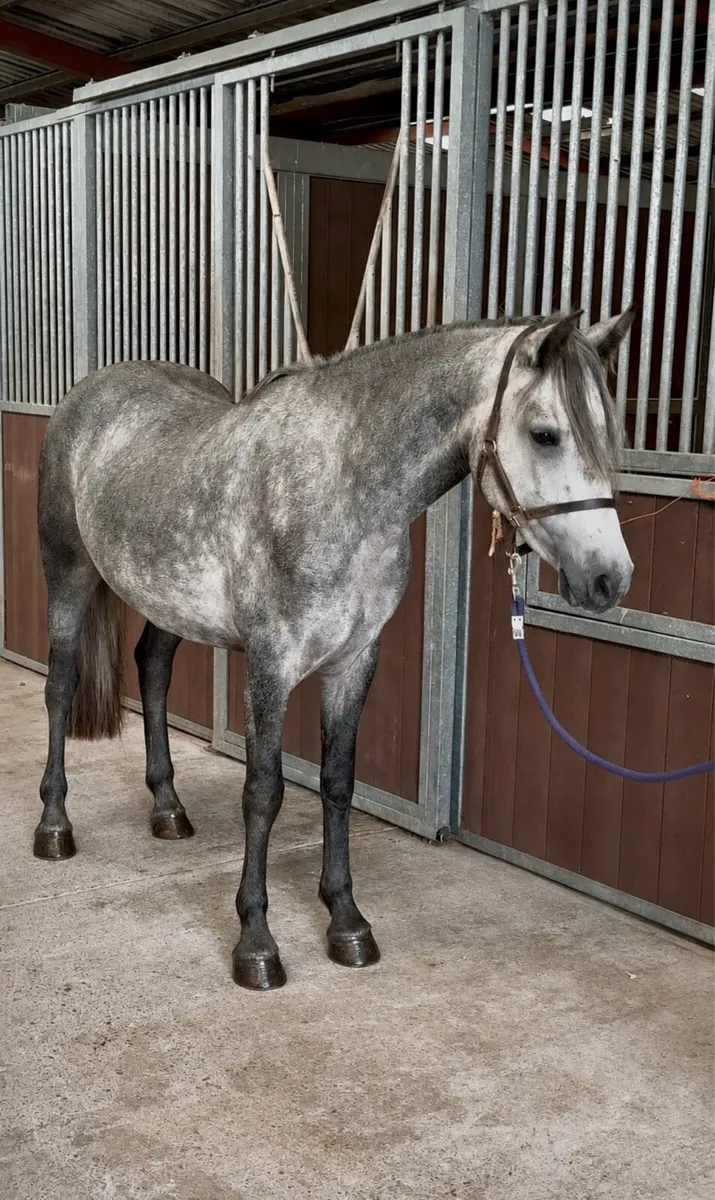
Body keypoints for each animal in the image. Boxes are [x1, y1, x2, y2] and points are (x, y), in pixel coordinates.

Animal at [34, 310, 635, 989]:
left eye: (609, 434)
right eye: (544, 434)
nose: (610, 579)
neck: (339, 488)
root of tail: (90, 392)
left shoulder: (353, 664)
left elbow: (338, 783)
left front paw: (347, 922)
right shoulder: (270, 664)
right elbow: (263, 792)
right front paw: (256, 943)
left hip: (169, 600)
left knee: (153, 670)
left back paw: (167, 809)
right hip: (69, 575)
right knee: (60, 688)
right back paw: (54, 827)